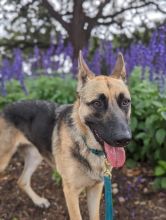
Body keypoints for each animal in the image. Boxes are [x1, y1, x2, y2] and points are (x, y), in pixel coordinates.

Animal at [0, 52, 132, 220]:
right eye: (97, 103)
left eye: (125, 102)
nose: (124, 139)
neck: (86, 145)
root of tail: (5, 108)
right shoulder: (71, 193)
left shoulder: (95, 189)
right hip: (4, 160)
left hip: (35, 156)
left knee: (22, 181)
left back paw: (38, 201)